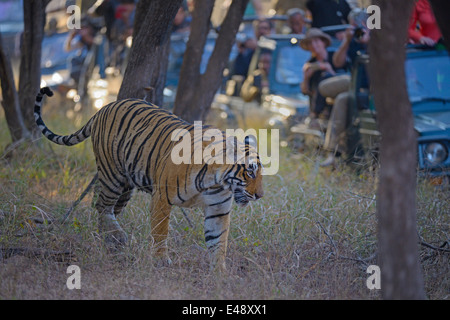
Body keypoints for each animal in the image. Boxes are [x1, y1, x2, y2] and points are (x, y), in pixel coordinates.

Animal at [34, 86, 264, 272]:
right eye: (250, 172)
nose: (260, 196)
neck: (215, 181)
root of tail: (104, 107)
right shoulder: (162, 198)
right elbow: (161, 231)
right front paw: (161, 260)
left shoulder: (218, 209)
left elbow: (218, 241)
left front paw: (219, 273)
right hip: (112, 175)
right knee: (102, 205)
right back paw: (115, 238)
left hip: (126, 186)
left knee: (109, 210)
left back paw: (111, 239)